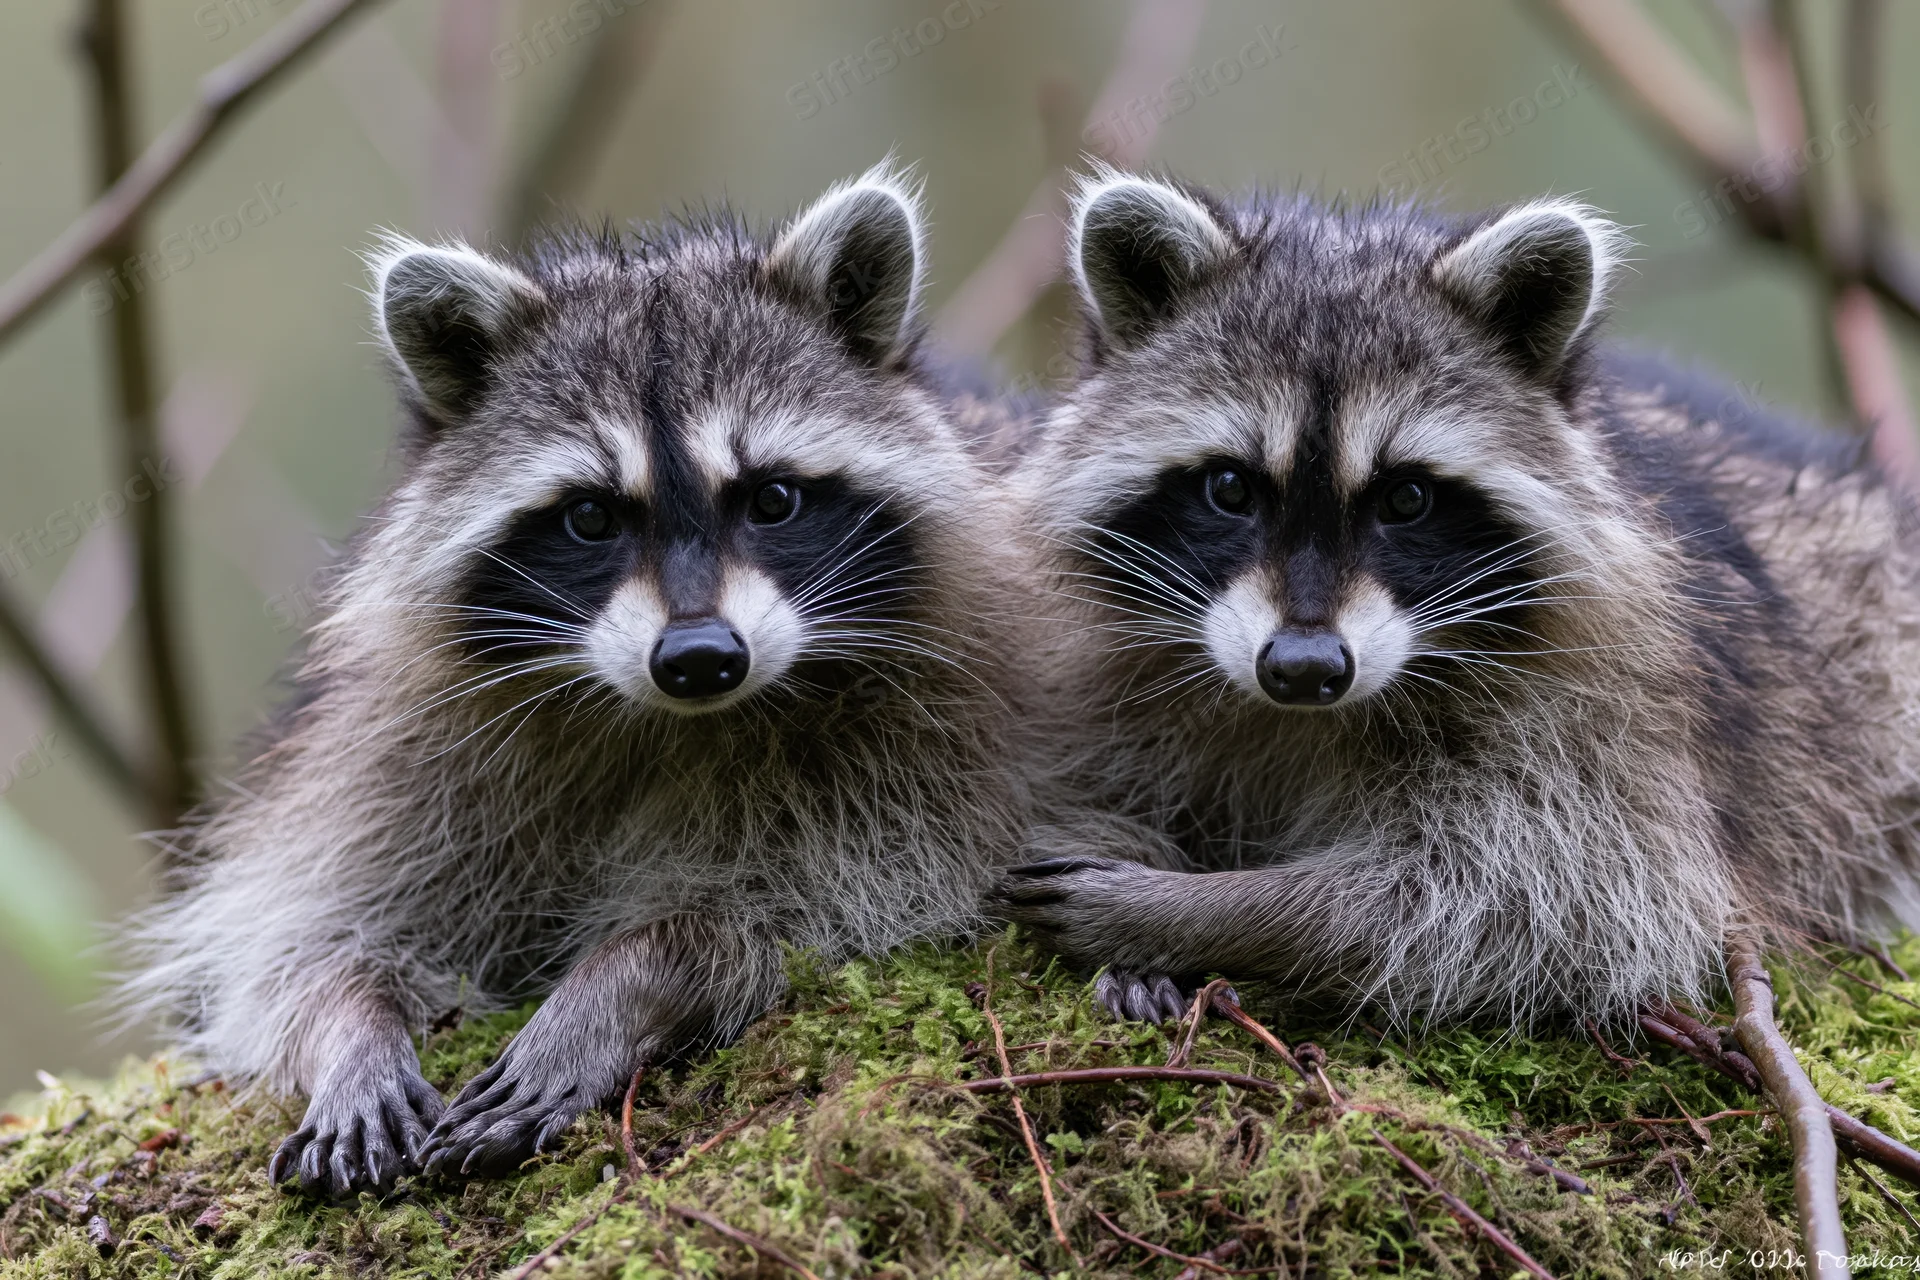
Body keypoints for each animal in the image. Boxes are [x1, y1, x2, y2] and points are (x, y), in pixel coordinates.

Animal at [121, 167, 1028, 1196]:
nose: (700, 657)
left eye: (773, 499)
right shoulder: (394, 760)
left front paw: (625, 981)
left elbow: (811, 907)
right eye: (591, 517)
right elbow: (298, 945)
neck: (662, 717)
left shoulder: (928, 751)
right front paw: (350, 1027)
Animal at [999, 170, 1920, 1030]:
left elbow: (1542, 902)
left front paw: (1210, 910)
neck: (1302, 720)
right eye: (1230, 488)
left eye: (1407, 499)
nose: (1303, 668)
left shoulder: (1616, 723)